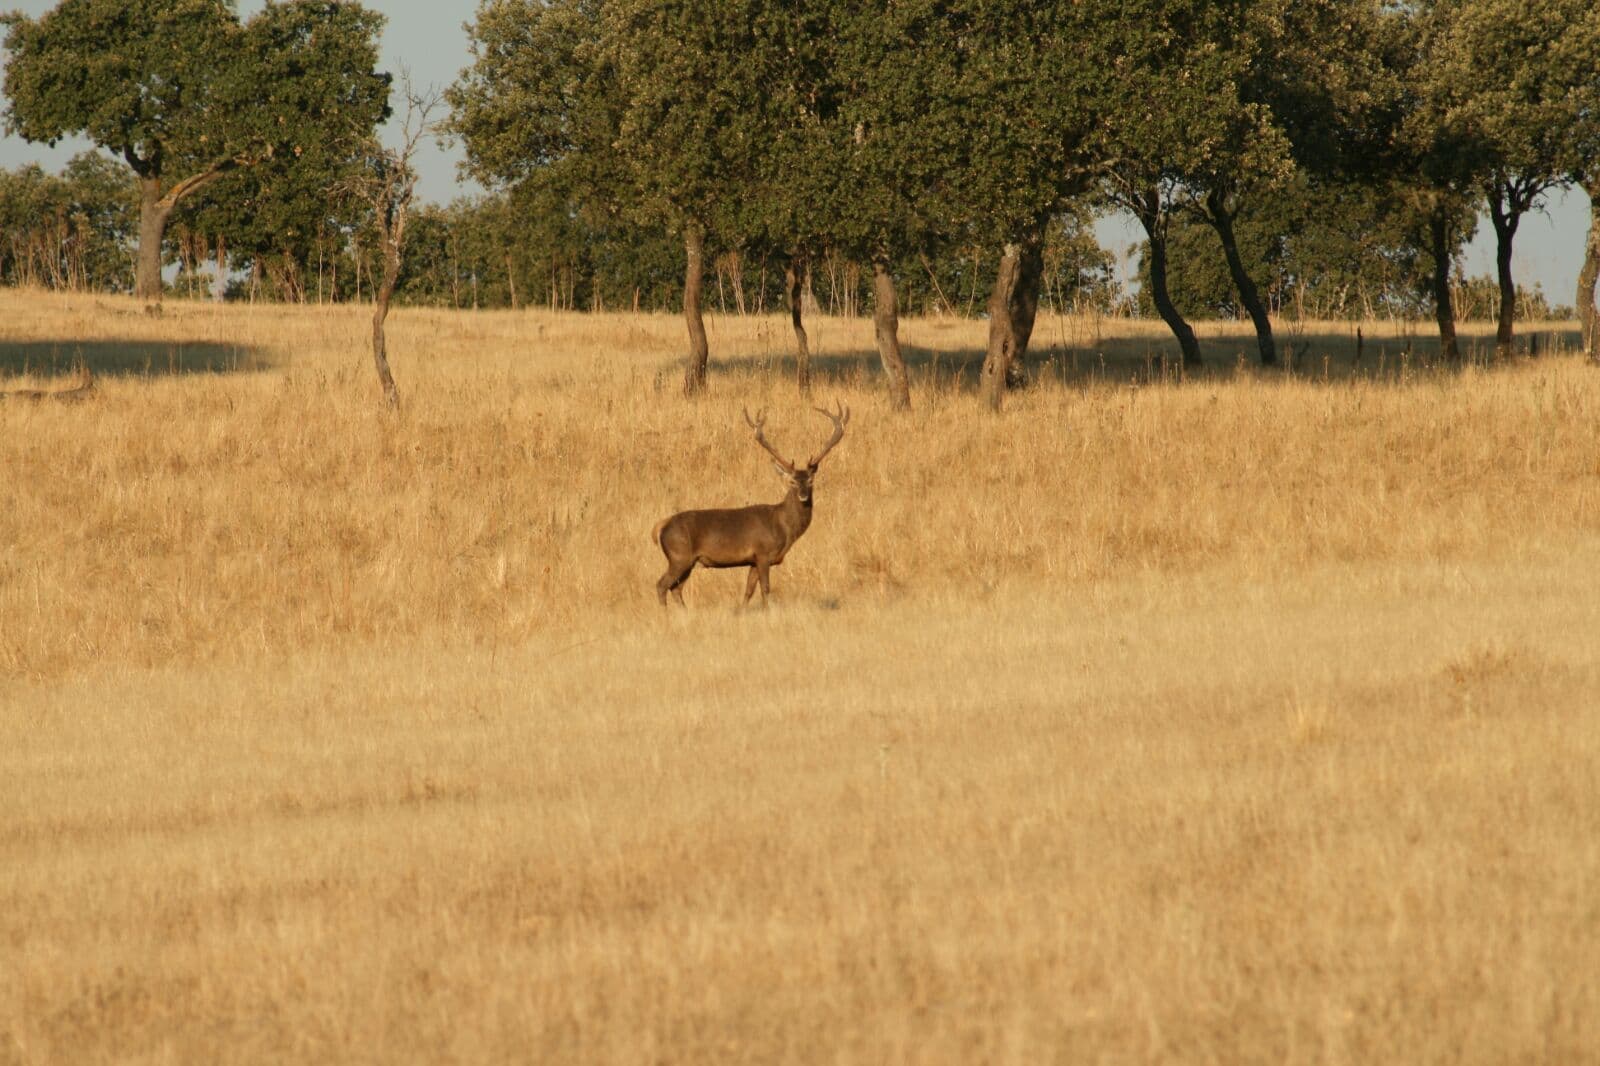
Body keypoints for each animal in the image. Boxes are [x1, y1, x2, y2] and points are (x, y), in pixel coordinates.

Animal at [653, 401, 850, 607]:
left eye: (811, 480)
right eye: (792, 482)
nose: (803, 495)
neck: (783, 527)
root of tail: (660, 527)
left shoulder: (753, 560)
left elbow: (748, 591)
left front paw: (743, 610)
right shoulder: (763, 553)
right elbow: (765, 589)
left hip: (688, 562)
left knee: (676, 589)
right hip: (679, 555)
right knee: (661, 585)